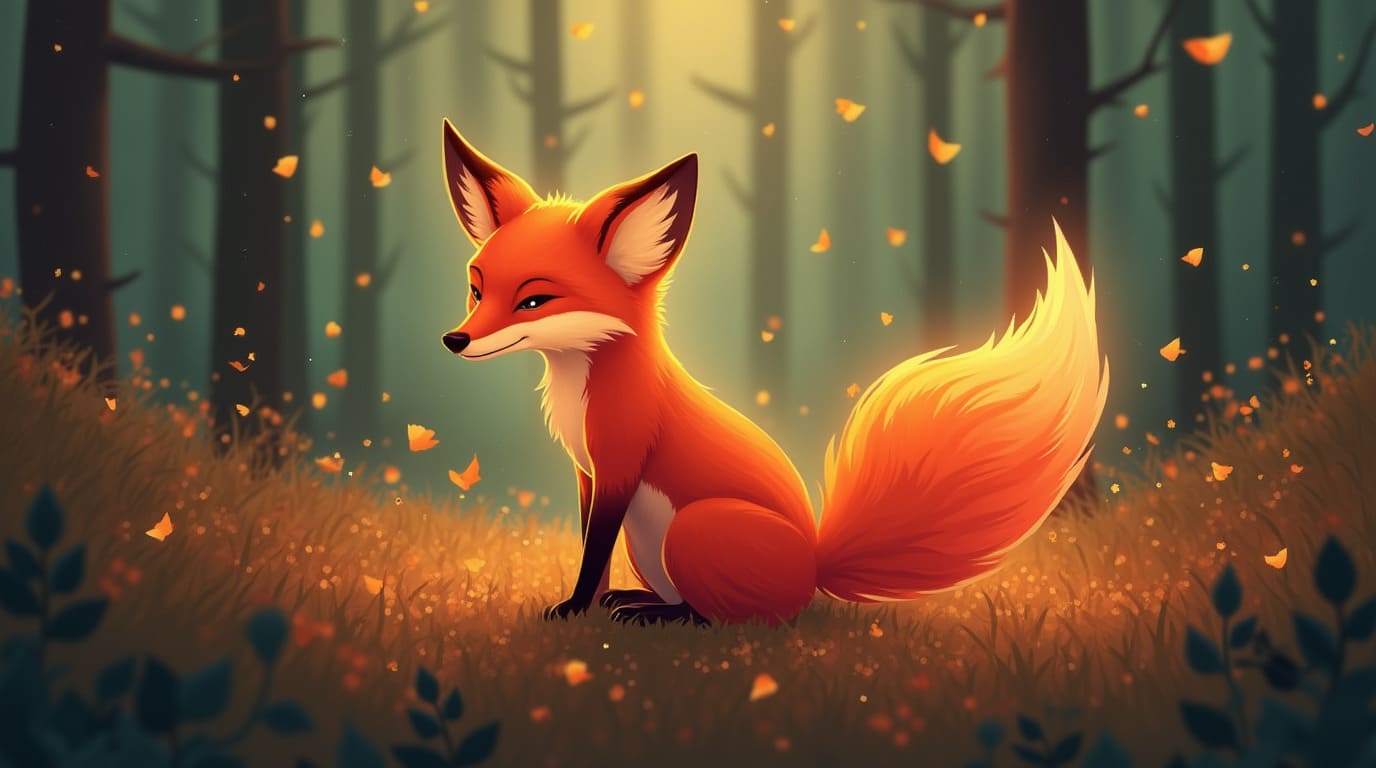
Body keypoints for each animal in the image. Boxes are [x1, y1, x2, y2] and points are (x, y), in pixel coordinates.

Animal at [439, 118, 1109, 626]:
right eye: (476, 289)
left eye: (533, 301)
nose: (453, 339)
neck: (584, 386)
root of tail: (814, 567)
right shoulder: (586, 472)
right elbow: (591, 552)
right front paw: (588, 605)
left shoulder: (621, 464)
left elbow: (592, 551)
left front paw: (575, 609)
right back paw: (637, 599)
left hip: (693, 530)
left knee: (727, 619)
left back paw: (658, 614)